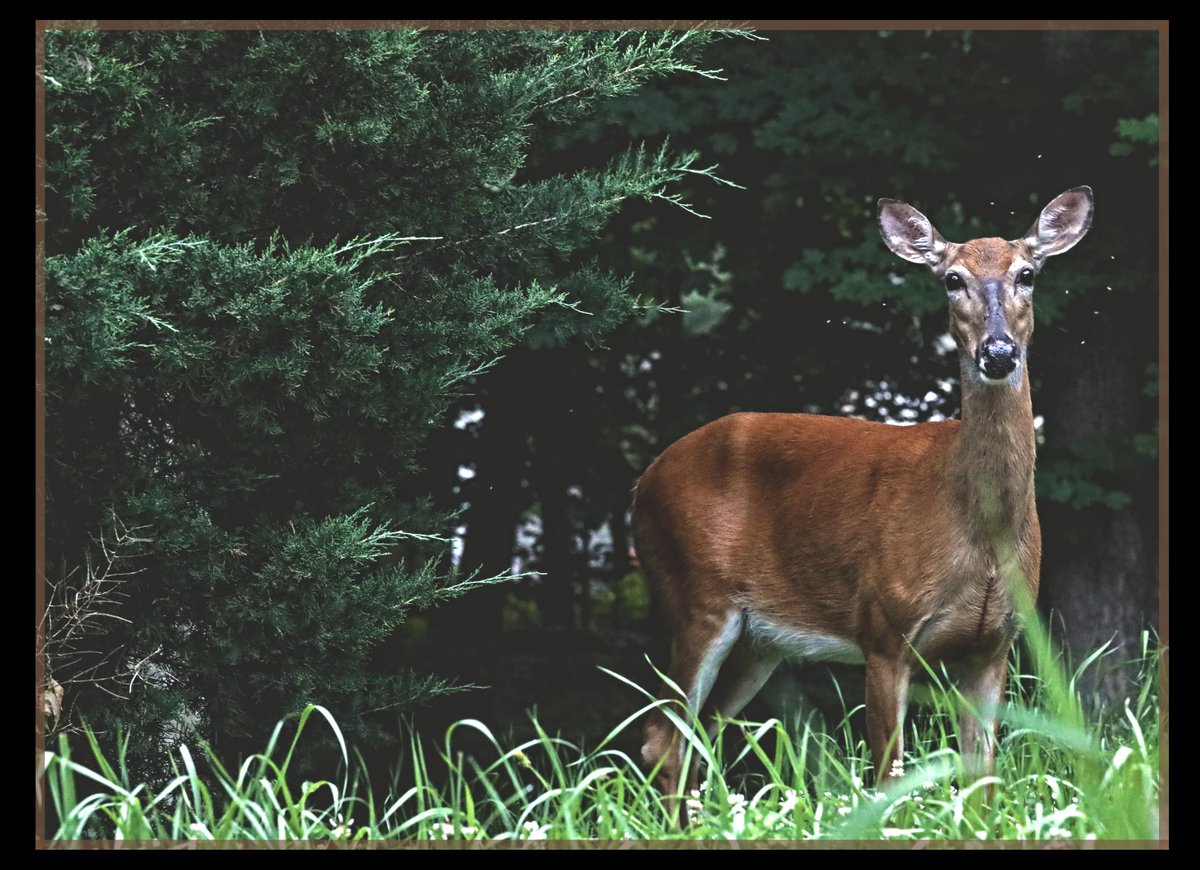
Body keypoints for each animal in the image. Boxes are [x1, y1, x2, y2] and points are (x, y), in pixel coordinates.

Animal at [634, 187, 1094, 819]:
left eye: (1028, 273)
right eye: (951, 279)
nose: (998, 353)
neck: (978, 530)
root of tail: (642, 481)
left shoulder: (995, 644)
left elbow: (982, 781)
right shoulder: (883, 631)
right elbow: (888, 777)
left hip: (759, 642)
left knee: (700, 731)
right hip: (695, 597)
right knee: (664, 736)